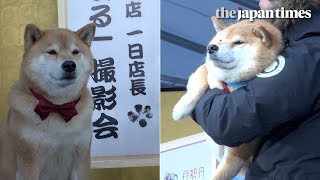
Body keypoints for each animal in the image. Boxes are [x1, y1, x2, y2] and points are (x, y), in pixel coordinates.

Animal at [0, 23, 95, 180]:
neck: (58, 107)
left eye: (75, 52)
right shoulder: (29, 158)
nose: (69, 65)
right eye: (51, 52)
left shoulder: (81, 156)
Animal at [174, 17, 284, 180]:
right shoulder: (206, 72)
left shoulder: (236, 156)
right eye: (220, 40)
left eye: (238, 42)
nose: (211, 47)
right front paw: (181, 109)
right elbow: (201, 78)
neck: (230, 85)